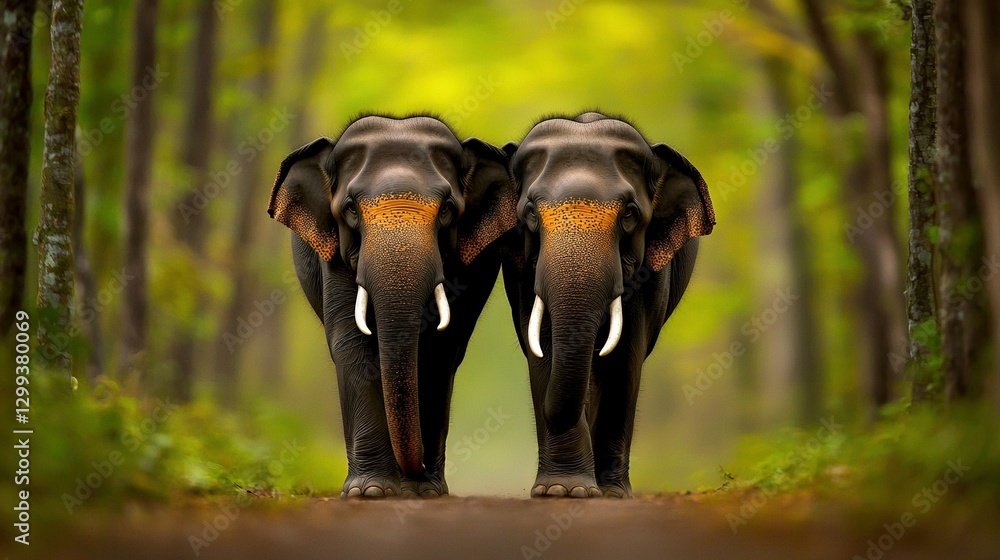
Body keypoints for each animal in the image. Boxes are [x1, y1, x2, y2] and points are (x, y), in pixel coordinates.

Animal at [268, 114, 517, 498]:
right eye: (351, 209)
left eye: (447, 210)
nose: (417, 469)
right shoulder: (335, 257)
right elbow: (352, 344)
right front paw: (370, 491)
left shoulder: (470, 268)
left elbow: (440, 350)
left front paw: (422, 491)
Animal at [500, 111, 716, 498]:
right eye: (531, 214)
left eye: (629, 214)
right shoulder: (522, 269)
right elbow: (543, 348)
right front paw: (563, 491)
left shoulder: (651, 272)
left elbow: (625, 358)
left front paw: (610, 494)